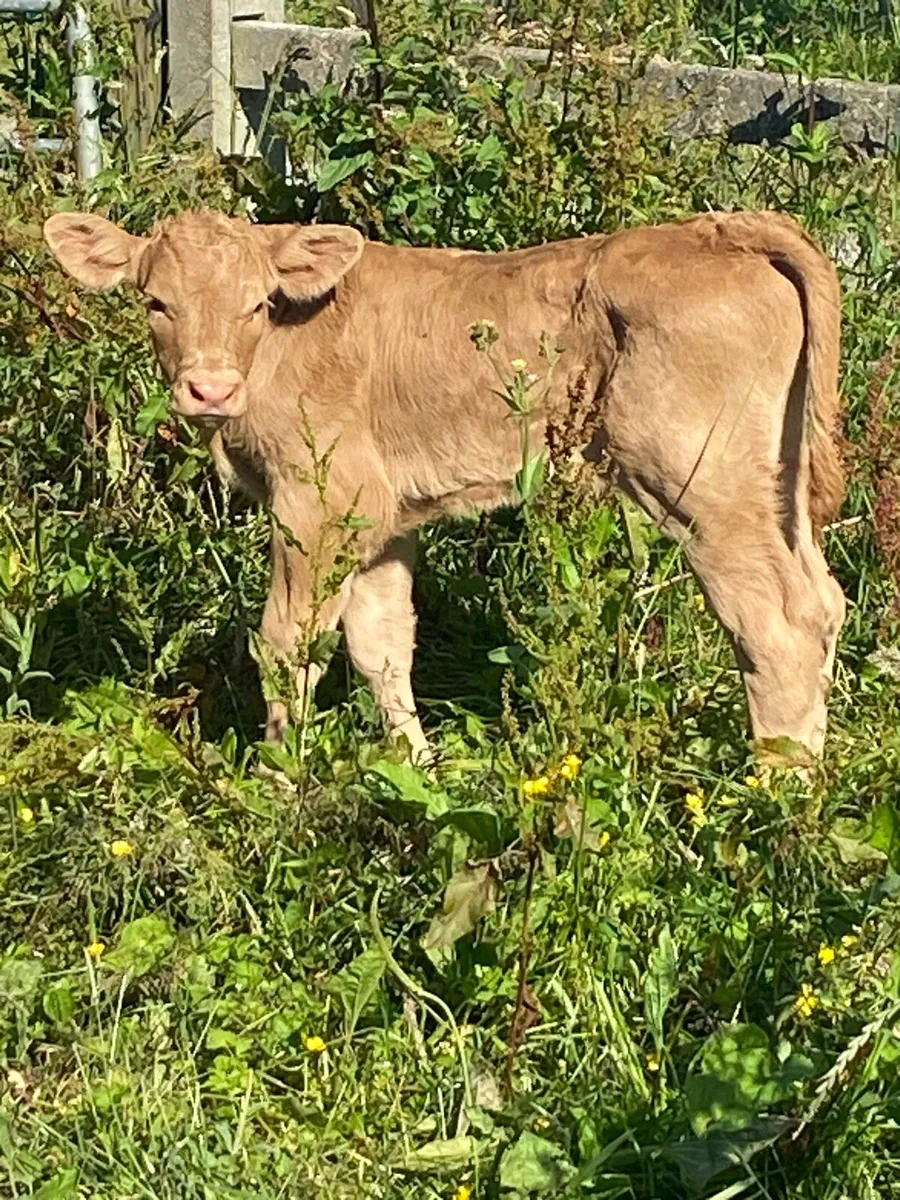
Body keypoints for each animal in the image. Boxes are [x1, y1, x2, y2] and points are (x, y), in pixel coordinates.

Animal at [44, 208, 846, 761]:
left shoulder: (318, 503)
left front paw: (279, 779)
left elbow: (288, 643)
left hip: (698, 477)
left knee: (775, 621)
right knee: (824, 600)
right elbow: (382, 642)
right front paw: (416, 765)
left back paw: (776, 788)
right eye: (156, 302)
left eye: (255, 303)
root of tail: (725, 227)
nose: (209, 389)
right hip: (777, 473)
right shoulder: (383, 519)